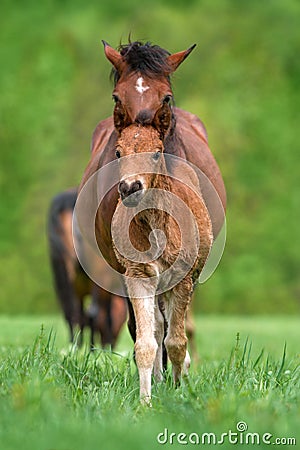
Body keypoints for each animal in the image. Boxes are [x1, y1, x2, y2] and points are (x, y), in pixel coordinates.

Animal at [47, 188, 127, 350]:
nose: (113, 343)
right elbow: (104, 315)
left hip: (63, 273)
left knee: (72, 311)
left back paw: (76, 347)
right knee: (94, 313)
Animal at [112, 123, 213, 404]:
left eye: (156, 152)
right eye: (117, 152)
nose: (130, 187)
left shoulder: (182, 280)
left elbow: (177, 342)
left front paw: (179, 393)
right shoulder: (138, 276)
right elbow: (145, 343)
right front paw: (145, 402)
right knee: (157, 326)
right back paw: (158, 380)